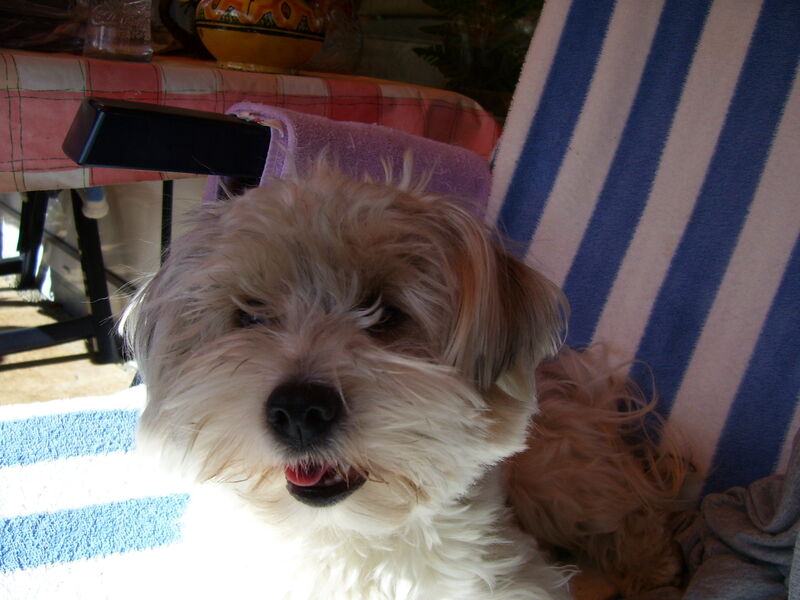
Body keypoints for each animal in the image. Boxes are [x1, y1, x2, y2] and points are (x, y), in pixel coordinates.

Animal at [124, 163, 688, 599]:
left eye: (384, 313)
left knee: (636, 512)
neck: (341, 537)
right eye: (251, 315)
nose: (299, 410)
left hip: (561, 483)